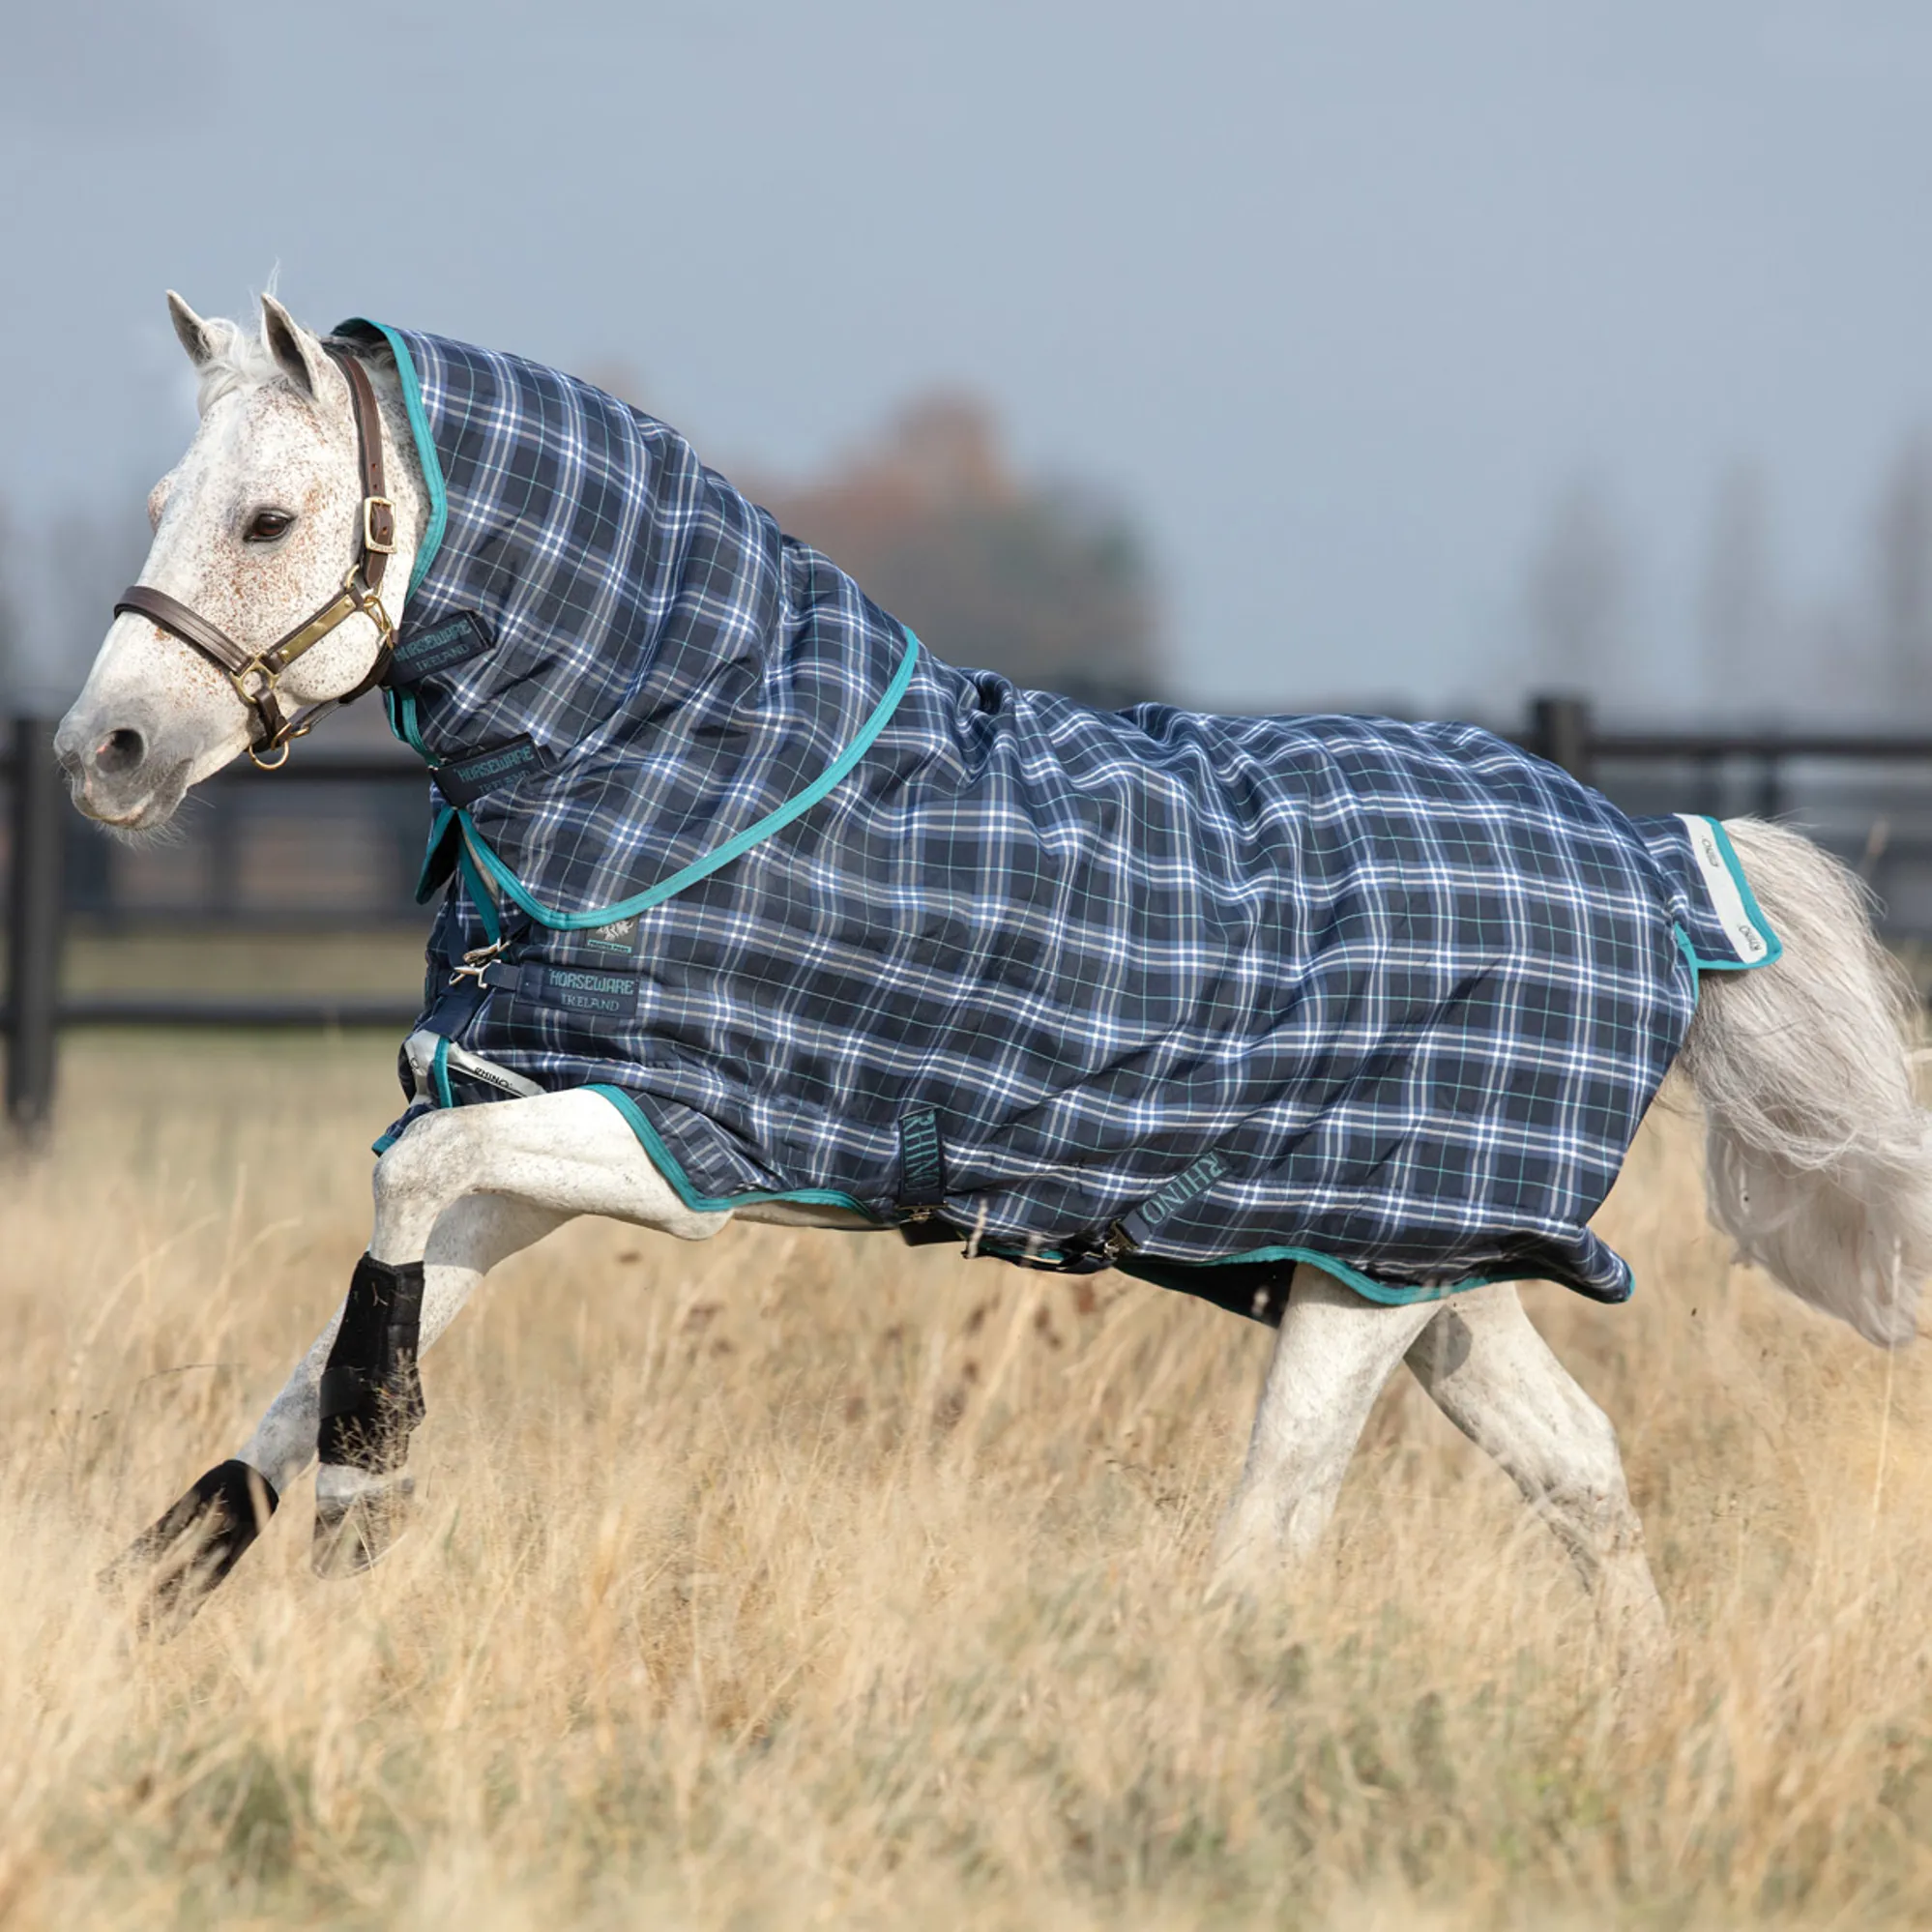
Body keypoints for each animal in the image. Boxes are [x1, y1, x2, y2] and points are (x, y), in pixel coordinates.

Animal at [58, 292, 1932, 1671]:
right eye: (163, 507)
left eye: (271, 515)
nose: (104, 753)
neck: (697, 764)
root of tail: (1650, 860)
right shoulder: (539, 1127)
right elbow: (316, 1350)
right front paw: (150, 1595)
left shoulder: (671, 1145)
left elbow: (389, 1241)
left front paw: (366, 1512)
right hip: (1423, 1268)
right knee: (1580, 1477)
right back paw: (1641, 1707)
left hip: (1365, 1285)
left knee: (1270, 1541)